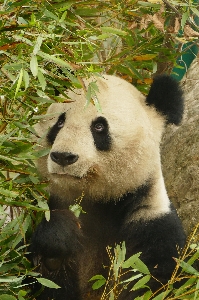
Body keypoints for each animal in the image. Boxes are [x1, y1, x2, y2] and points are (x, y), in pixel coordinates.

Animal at [31, 74, 185, 298]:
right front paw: (57, 241)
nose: (63, 156)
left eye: (99, 126)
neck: (97, 200)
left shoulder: (153, 223)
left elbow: (157, 282)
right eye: (59, 122)